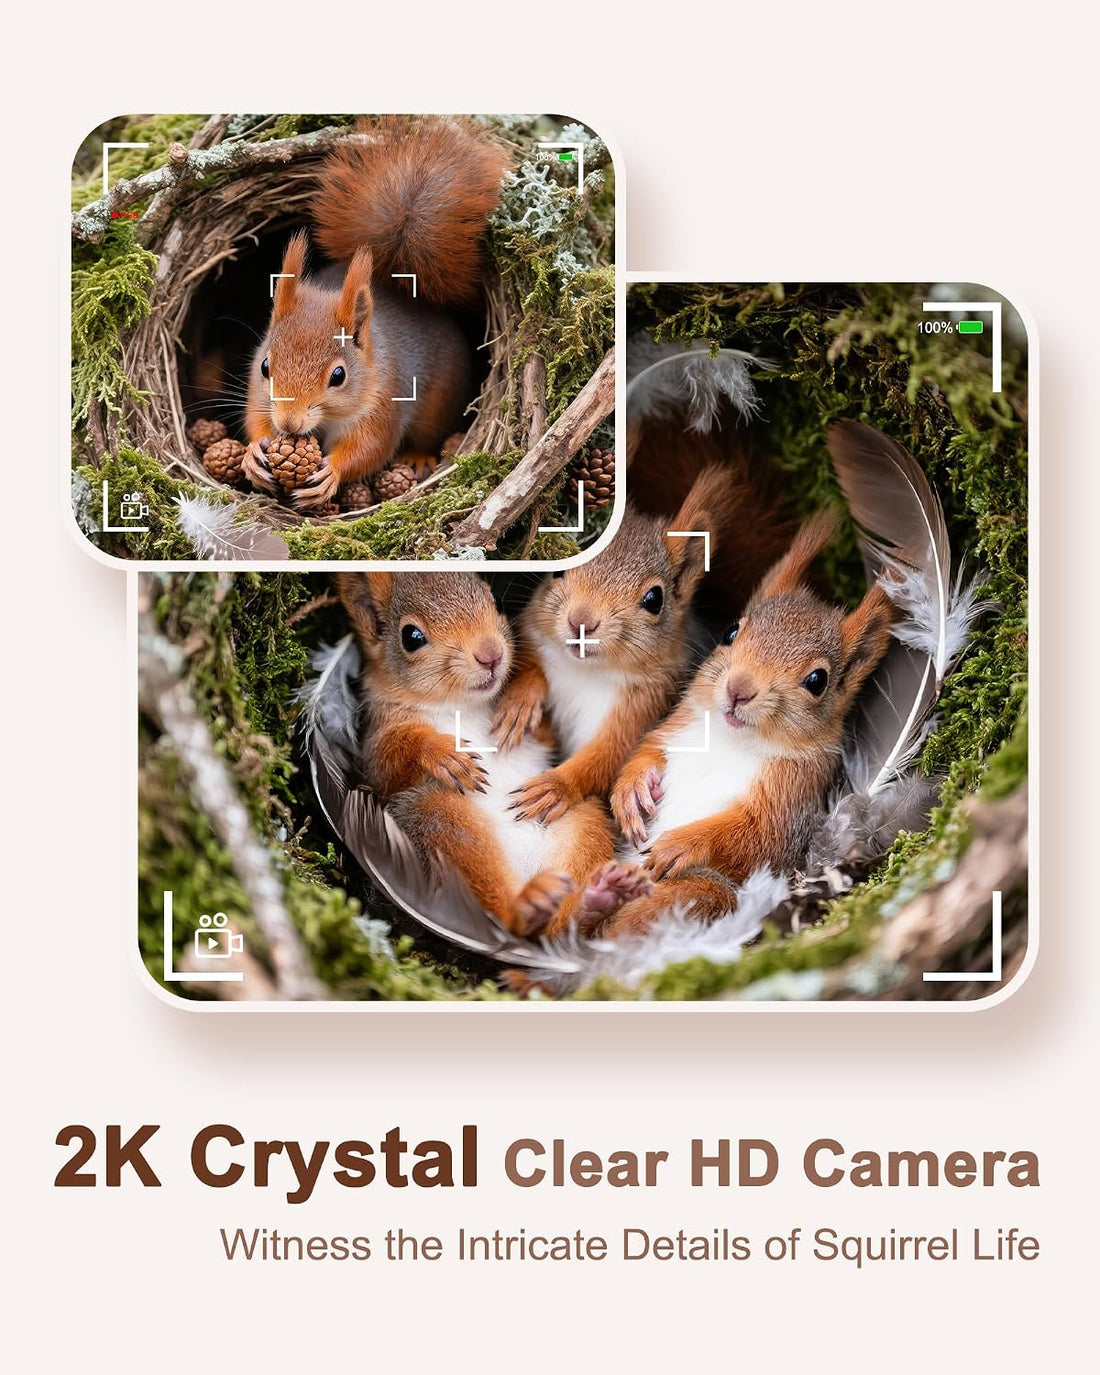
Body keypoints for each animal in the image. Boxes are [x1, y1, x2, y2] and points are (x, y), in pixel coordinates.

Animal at [243, 117, 510, 510]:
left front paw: (332, 472)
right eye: (265, 367)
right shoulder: (259, 395)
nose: (289, 425)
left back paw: (417, 456)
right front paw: (252, 453)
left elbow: (370, 448)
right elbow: (255, 417)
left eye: (338, 376)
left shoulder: (384, 401)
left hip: (440, 400)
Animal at [337, 571, 619, 938]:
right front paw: (441, 752)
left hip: (583, 820)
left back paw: (593, 901)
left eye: (495, 600)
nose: (490, 654)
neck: (460, 705)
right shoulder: (376, 739)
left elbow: (543, 728)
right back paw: (528, 908)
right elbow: (387, 763)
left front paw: (524, 697)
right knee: (508, 919)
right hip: (441, 820)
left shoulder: (545, 740)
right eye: (411, 637)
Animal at [491, 467, 744, 824]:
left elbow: (607, 757)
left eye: (654, 599)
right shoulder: (533, 630)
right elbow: (526, 660)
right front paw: (520, 701)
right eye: (558, 570)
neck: (585, 671)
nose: (580, 621)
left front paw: (555, 786)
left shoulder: (643, 707)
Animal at [589, 510, 897, 937]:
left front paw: (683, 844)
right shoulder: (677, 725)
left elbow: (756, 838)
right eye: (731, 631)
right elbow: (646, 750)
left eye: (817, 681)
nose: (739, 689)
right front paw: (632, 791)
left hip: (702, 890)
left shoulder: (792, 800)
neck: (732, 739)